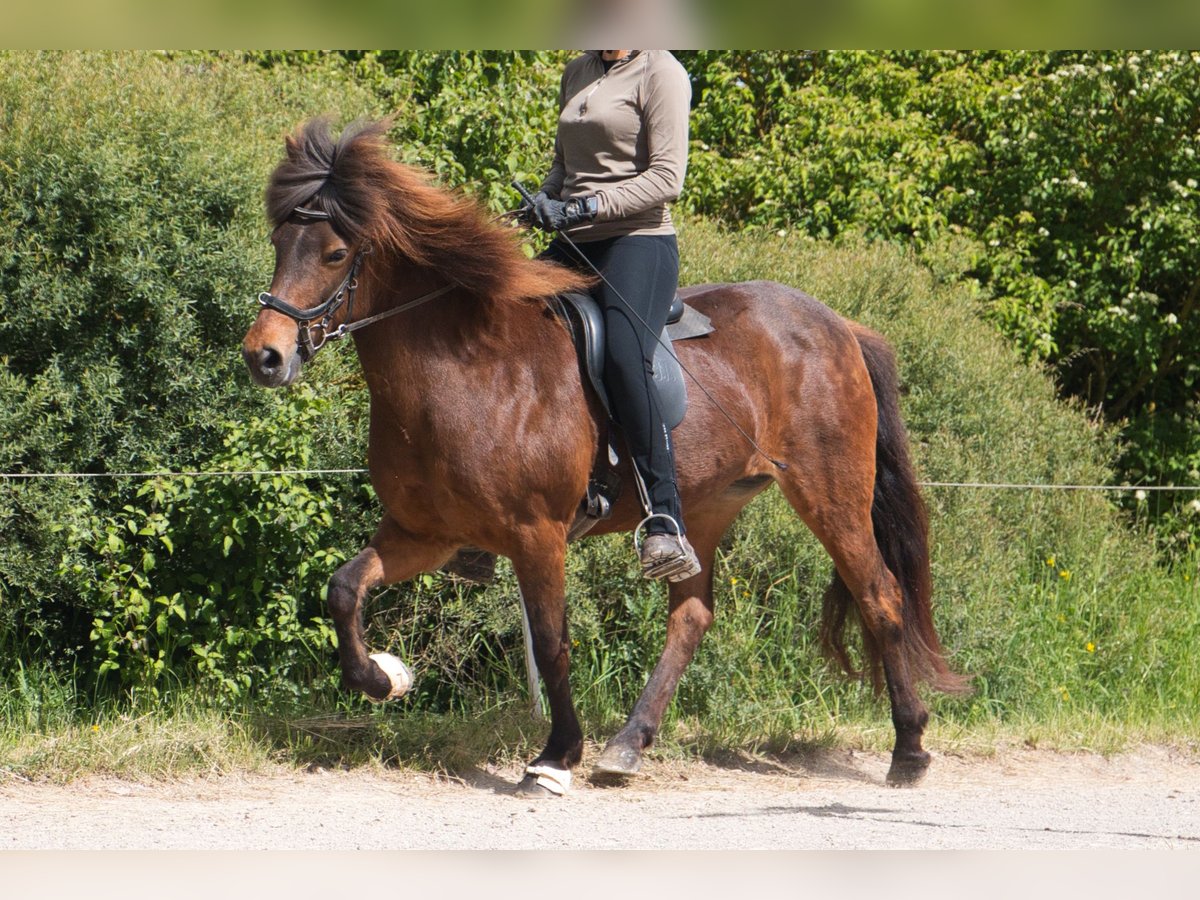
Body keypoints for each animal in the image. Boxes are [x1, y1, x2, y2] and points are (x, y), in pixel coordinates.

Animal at [241, 118, 964, 796]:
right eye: (279, 243)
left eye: (335, 252)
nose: (264, 356)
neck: (464, 369)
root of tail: (839, 325)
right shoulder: (425, 534)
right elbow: (344, 589)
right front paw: (384, 678)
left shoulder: (537, 535)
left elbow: (552, 642)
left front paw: (556, 757)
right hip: (704, 506)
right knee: (692, 616)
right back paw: (627, 746)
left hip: (830, 494)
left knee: (880, 595)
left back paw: (909, 751)